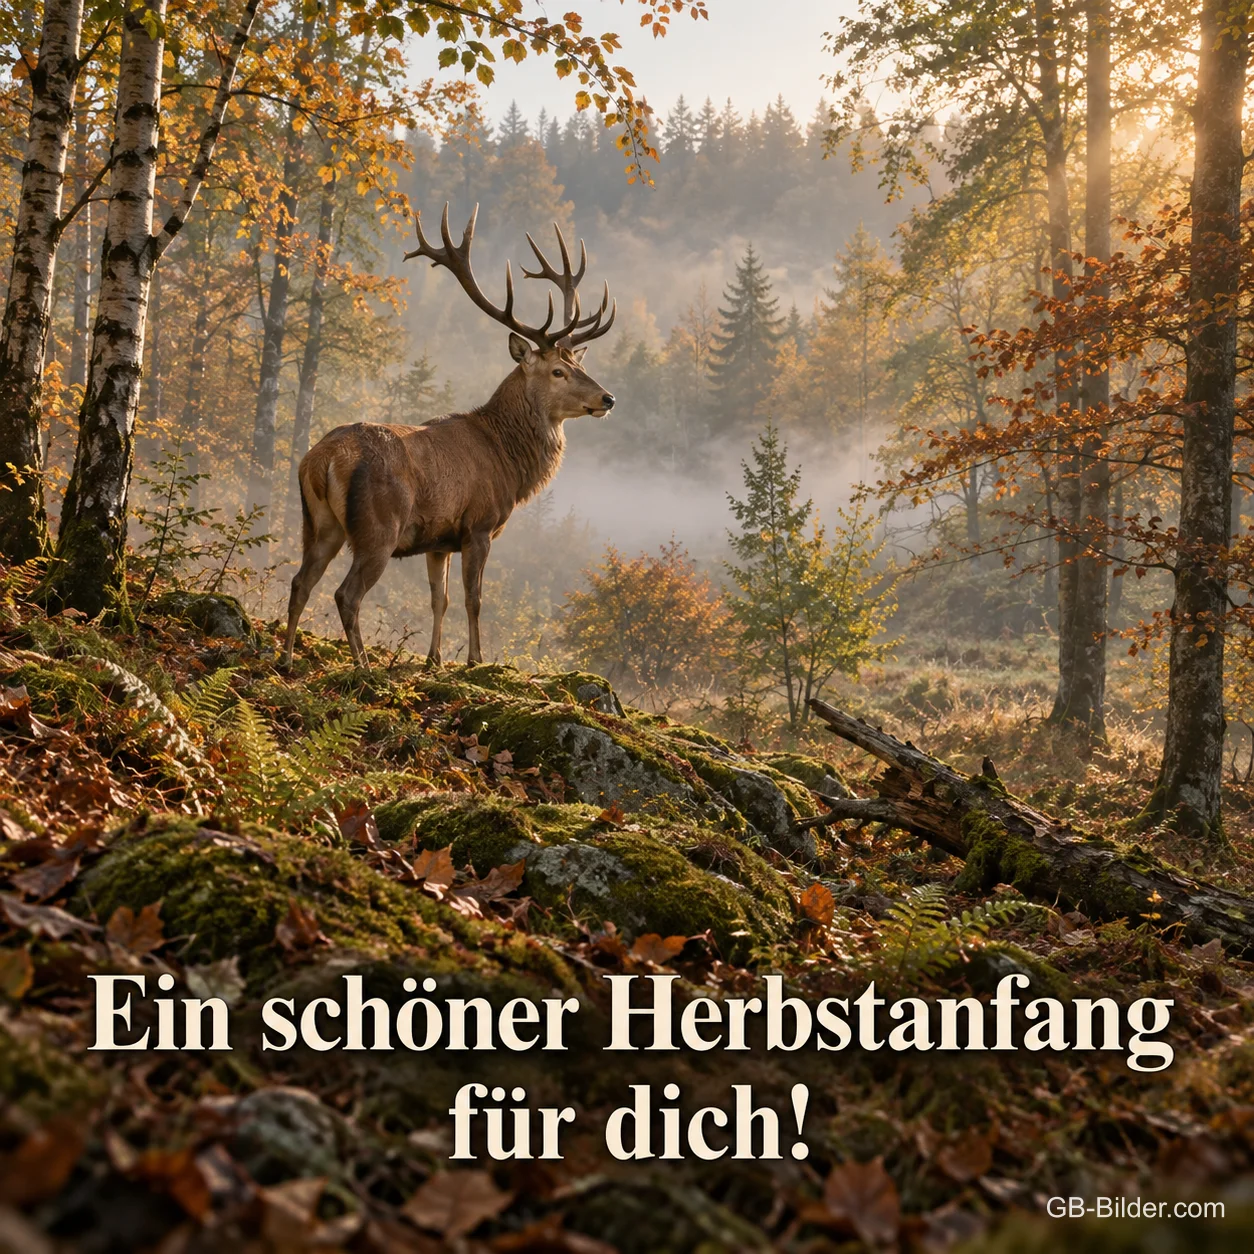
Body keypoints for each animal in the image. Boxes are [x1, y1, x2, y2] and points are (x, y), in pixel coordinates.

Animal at [281, 204, 616, 669]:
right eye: (557, 371)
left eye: (578, 364)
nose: (608, 398)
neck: (507, 459)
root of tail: (322, 459)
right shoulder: (479, 525)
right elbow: (473, 599)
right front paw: (476, 659)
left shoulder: (438, 540)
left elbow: (438, 599)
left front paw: (433, 659)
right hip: (377, 526)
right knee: (346, 594)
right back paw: (363, 667)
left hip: (317, 523)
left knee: (300, 582)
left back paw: (284, 658)